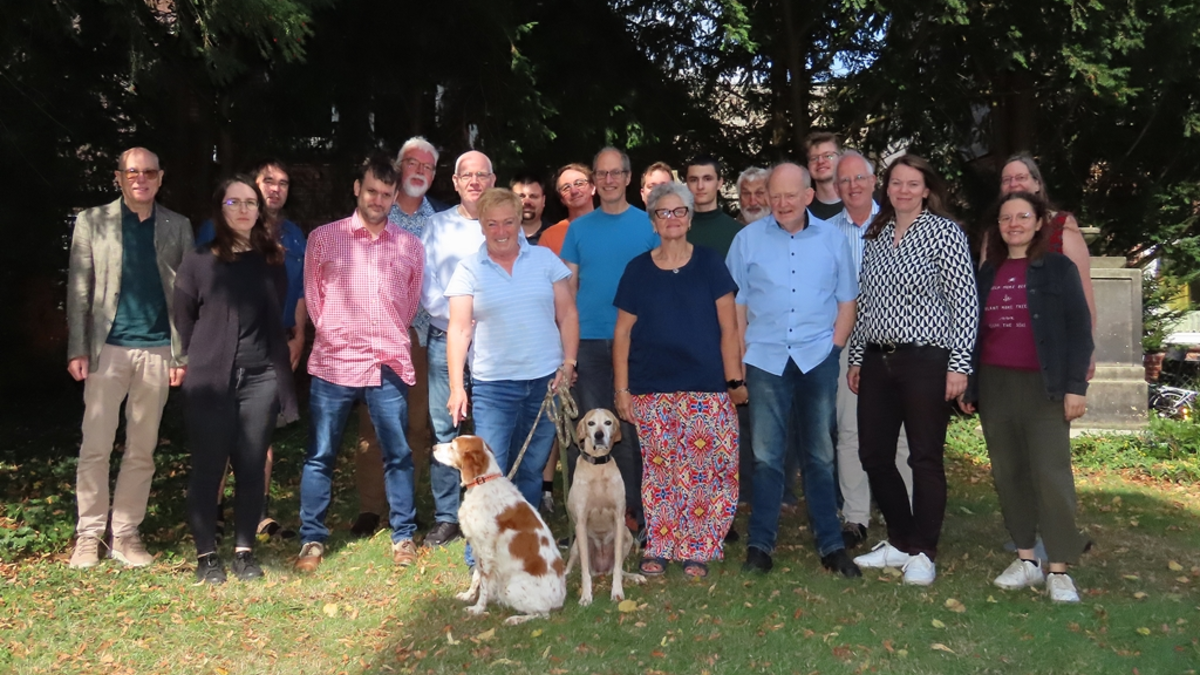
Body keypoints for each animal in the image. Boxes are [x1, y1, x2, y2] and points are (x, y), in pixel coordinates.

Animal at [564, 408, 643, 600]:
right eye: (591, 423)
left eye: (608, 422)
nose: (599, 435)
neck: (598, 467)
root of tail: (600, 571)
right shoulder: (581, 522)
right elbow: (584, 571)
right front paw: (586, 596)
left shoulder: (619, 518)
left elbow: (617, 569)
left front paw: (617, 592)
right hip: (577, 544)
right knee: (572, 567)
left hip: (627, 536)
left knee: (618, 568)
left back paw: (635, 576)